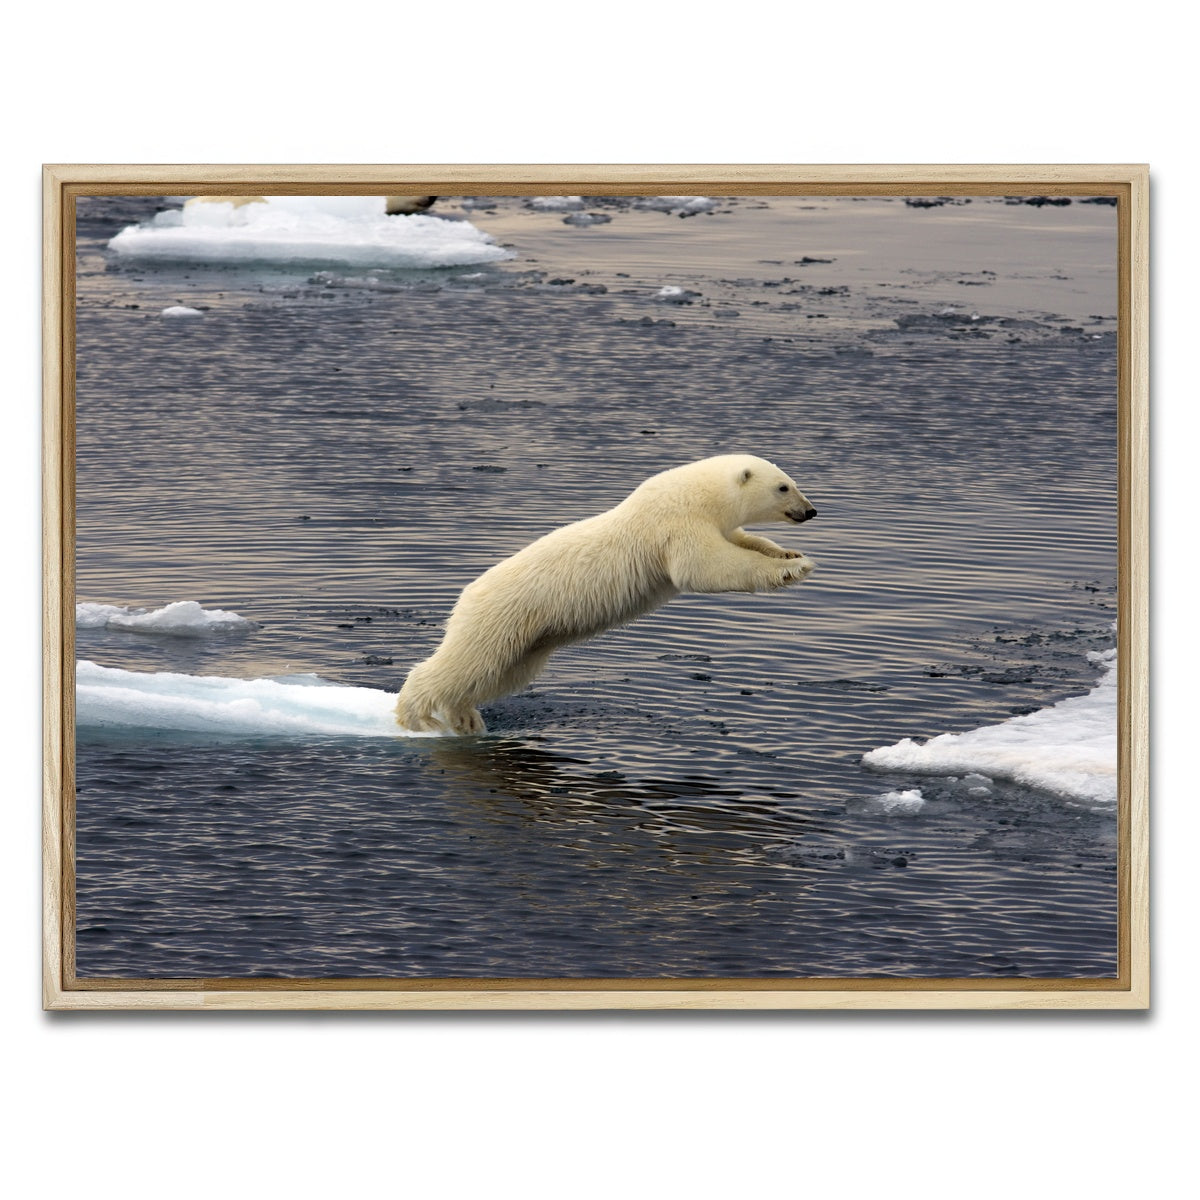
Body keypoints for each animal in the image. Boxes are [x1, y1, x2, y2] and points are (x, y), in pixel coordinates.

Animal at [394, 454, 818, 735]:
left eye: (793, 480)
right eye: (784, 486)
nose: (811, 511)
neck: (697, 493)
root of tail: (466, 595)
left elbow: (744, 540)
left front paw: (789, 554)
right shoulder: (675, 525)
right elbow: (707, 567)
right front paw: (790, 569)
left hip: (529, 639)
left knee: (498, 673)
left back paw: (465, 717)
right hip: (503, 616)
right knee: (467, 663)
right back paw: (416, 716)